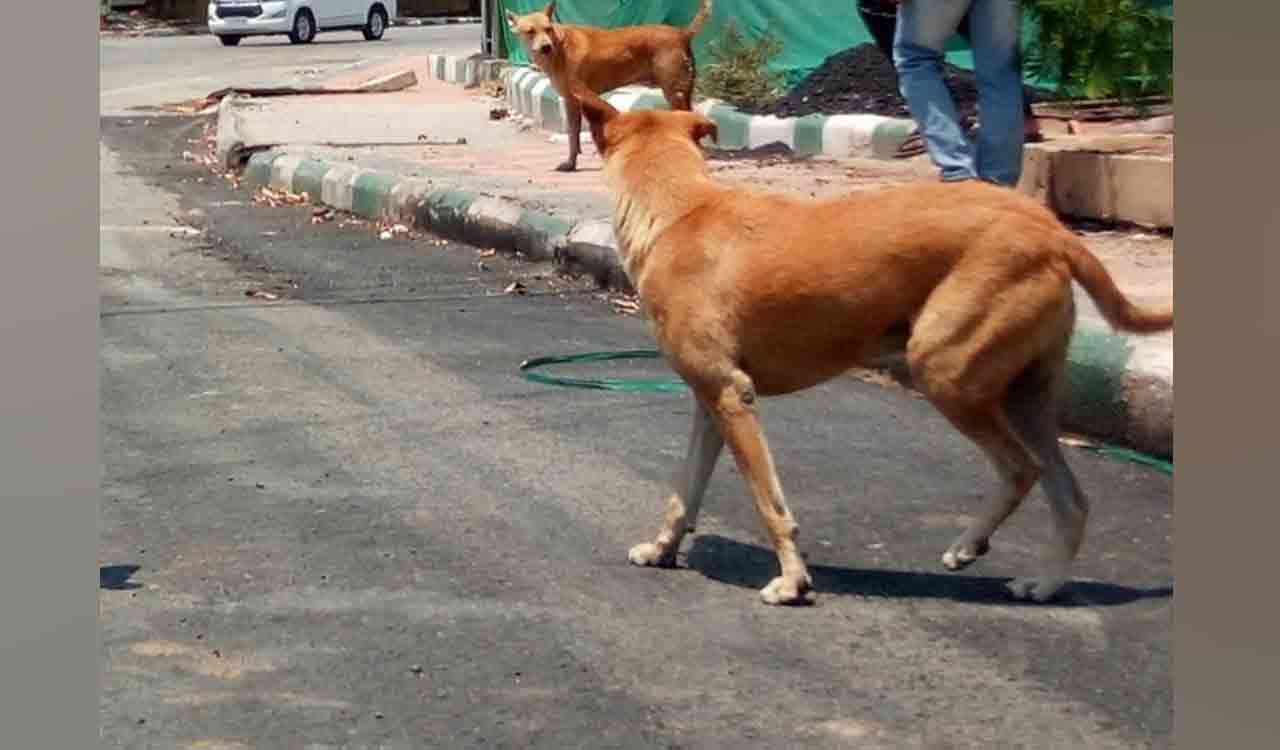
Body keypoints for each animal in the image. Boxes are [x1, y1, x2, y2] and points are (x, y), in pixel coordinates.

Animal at [504, 0, 716, 170]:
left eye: (548, 29)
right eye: (530, 32)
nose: (546, 47)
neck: (559, 45)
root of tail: (682, 33)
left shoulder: (575, 98)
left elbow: (574, 137)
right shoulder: (572, 102)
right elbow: (574, 137)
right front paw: (572, 163)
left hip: (675, 93)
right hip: (684, 92)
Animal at [573, 84, 1177, 604]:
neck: (680, 210)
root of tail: (1050, 229)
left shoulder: (732, 395)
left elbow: (769, 502)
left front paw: (792, 581)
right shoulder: (709, 402)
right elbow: (684, 490)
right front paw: (662, 548)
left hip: (944, 370)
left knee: (1019, 469)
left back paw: (970, 545)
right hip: (1024, 395)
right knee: (1070, 497)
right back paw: (1045, 584)